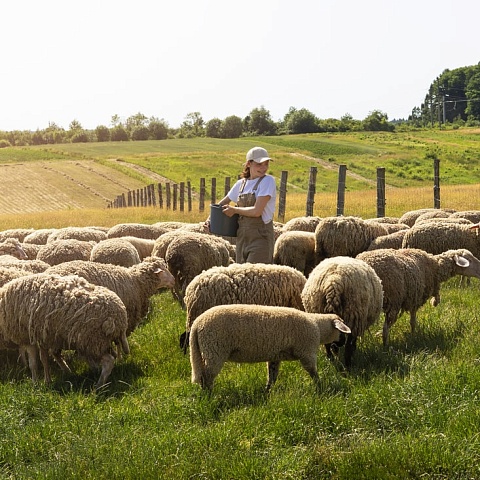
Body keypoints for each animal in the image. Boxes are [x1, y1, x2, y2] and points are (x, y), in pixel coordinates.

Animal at [0, 272, 129, 388]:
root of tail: (119, 315)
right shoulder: (42, 336)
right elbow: (44, 359)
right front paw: (47, 380)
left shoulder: (27, 337)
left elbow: (33, 364)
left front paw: (35, 383)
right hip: (99, 341)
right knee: (111, 356)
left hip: (93, 340)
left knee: (108, 361)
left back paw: (98, 385)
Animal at [189, 306, 350, 392]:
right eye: (342, 332)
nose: (343, 343)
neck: (318, 327)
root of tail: (197, 324)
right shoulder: (307, 352)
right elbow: (313, 372)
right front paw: (321, 387)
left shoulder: (275, 356)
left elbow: (272, 376)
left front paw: (267, 391)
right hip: (214, 350)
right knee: (206, 377)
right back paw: (209, 396)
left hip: (207, 350)